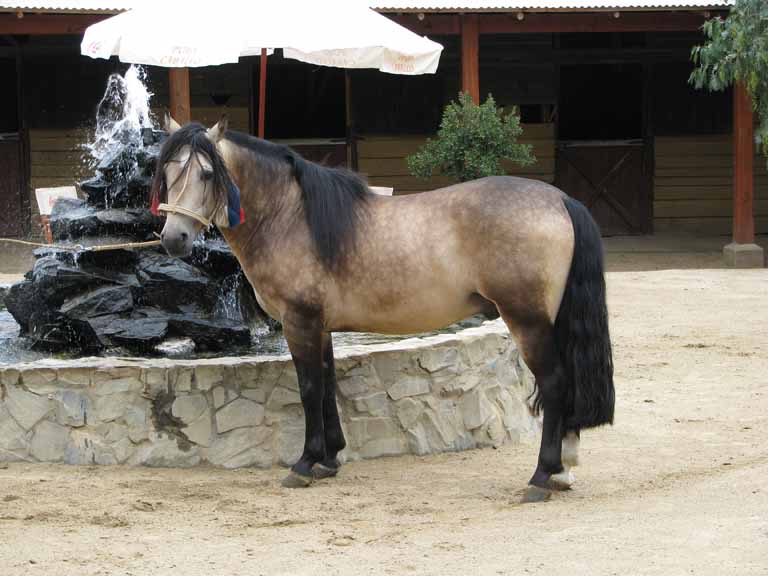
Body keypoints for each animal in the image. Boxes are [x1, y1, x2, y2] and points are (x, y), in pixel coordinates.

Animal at [153, 115, 616, 502]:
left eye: (206, 173)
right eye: (168, 172)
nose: (173, 238)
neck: (290, 216)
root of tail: (560, 200)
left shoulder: (299, 322)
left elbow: (308, 388)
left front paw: (304, 464)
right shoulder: (320, 326)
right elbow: (327, 382)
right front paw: (329, 460)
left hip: (528, 321)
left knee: (555, 384)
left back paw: (541, 477)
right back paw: (563, 471)